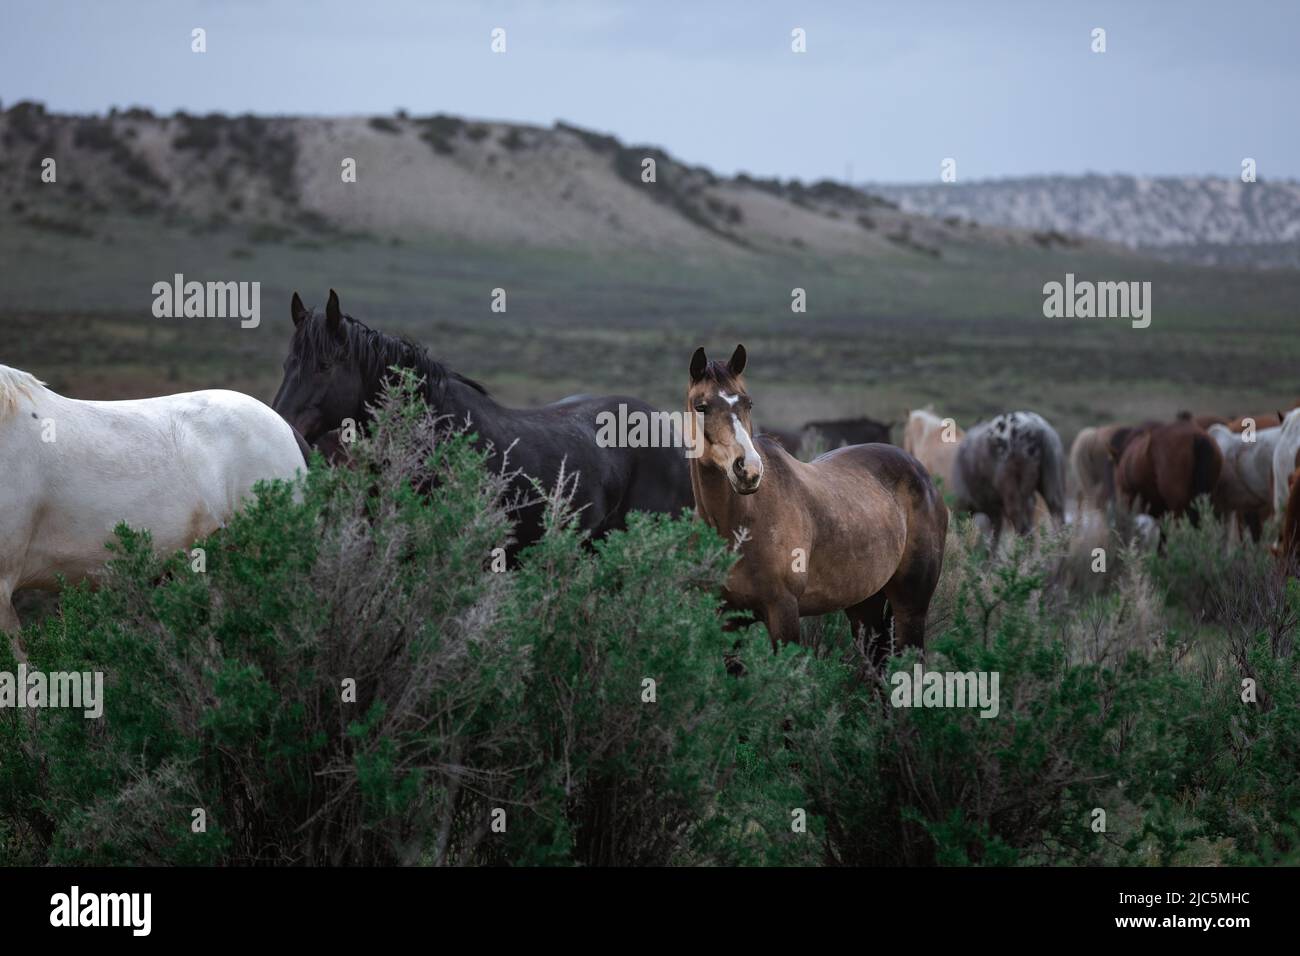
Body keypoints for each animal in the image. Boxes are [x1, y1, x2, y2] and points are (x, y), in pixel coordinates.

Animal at [686, 345, 951, 665]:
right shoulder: (728, 620)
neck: (739, 525)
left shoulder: (784, 612)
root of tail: (923, 476)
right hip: (865, 607)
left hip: (910, 608)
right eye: (701, 406)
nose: (748, 470)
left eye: (748, 404)